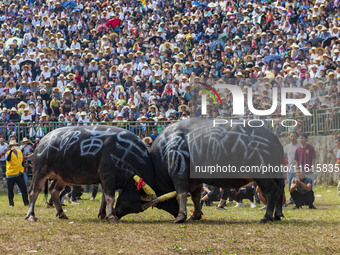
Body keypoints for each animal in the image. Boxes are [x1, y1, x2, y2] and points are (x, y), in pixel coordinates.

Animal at [25, 126, 154, 222]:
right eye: (136, 204)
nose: (118, 213)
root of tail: (42, 142)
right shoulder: (108, 176)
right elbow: (110, 198)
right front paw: (112, 216)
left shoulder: (105, 180)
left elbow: (104, 197)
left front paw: (103, 214)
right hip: (40, 172)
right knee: (34, 191)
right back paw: (31, 216)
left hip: (60, 177)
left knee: (54, 190)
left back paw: (61, 213)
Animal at [115, 117, 286, 223]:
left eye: (127, 191)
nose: (115, 211)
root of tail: (274, 139)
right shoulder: (195, 181)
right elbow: (196, 197)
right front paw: (195, 215)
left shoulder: (179, 176)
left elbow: (181, 194)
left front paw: (181, 216)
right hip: (277, 173)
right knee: (280, 190)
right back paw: (277, 215)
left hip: (263, 174)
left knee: (271, 192)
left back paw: (266, 217)